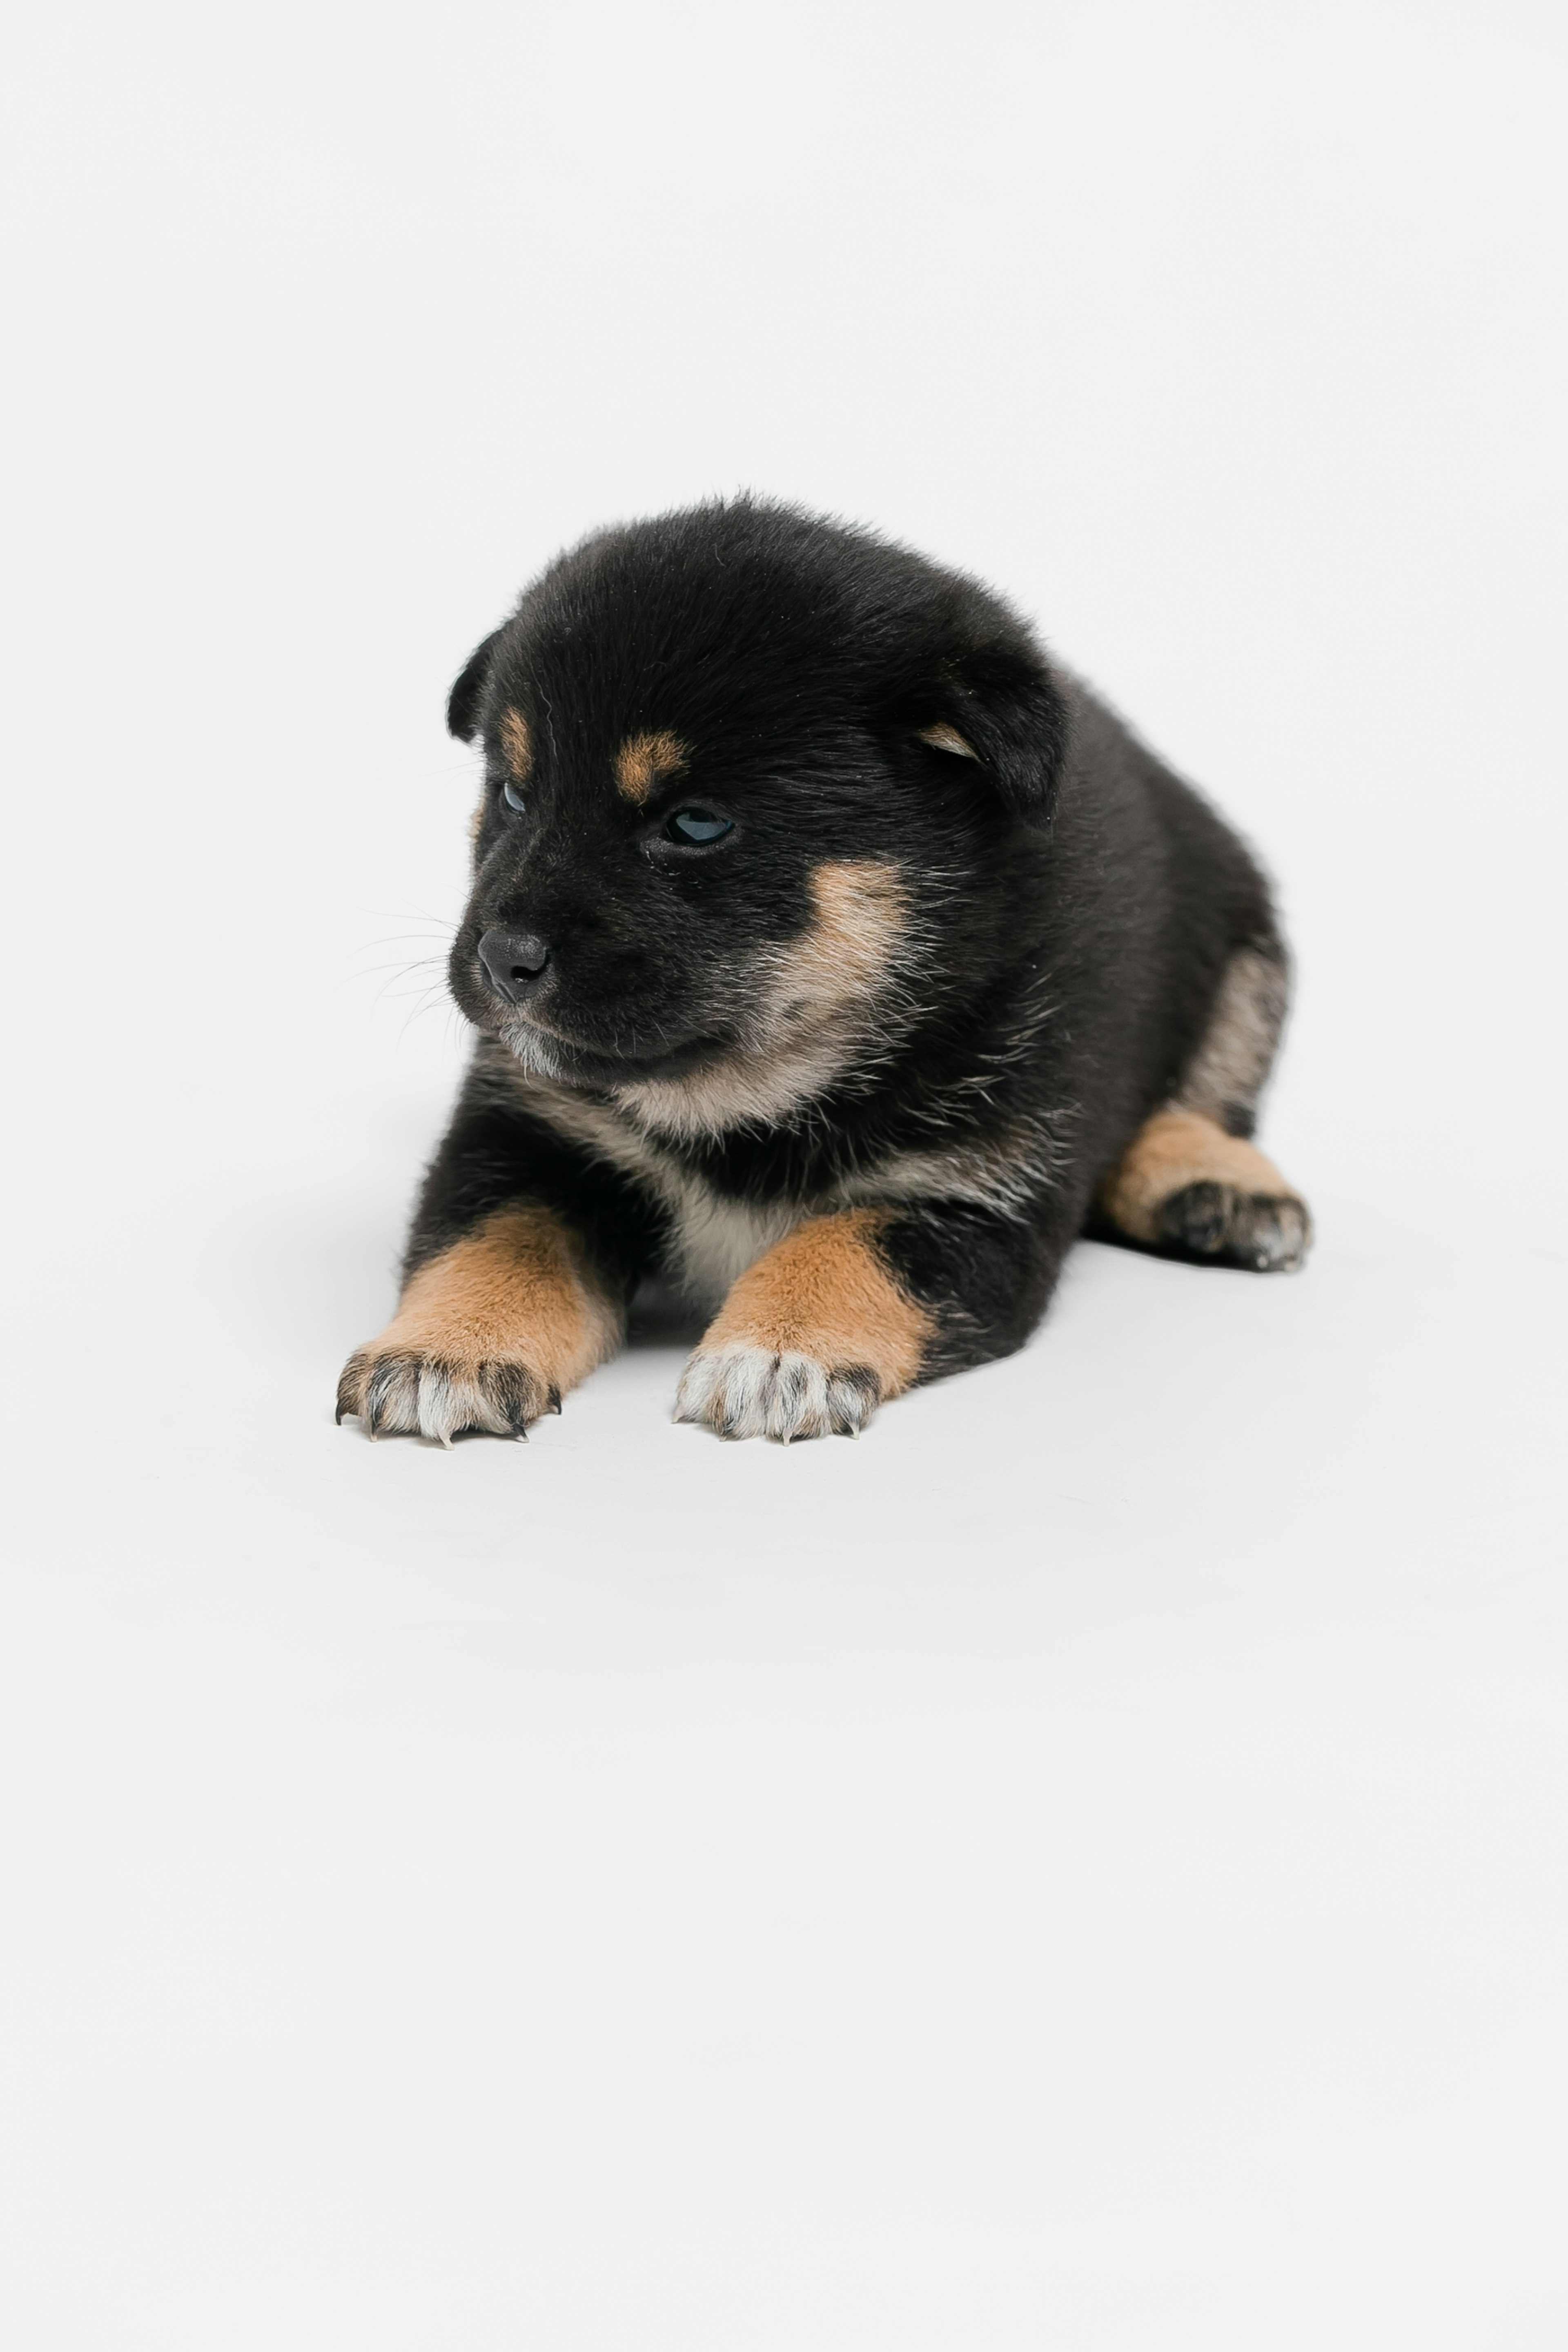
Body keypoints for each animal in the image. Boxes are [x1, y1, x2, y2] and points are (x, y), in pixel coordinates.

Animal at [341, 506, 1316, 1439]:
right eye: (512, 794)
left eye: (696, 825)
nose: (503, 959)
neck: (748, 1100)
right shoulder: (526, 1135)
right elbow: (496, 1242)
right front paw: (449, 1351)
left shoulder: (983, 1194)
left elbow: (849, 1241)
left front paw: (780, 1352)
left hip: (1247, 956)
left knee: (1203, 1094)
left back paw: (1214, 1183)